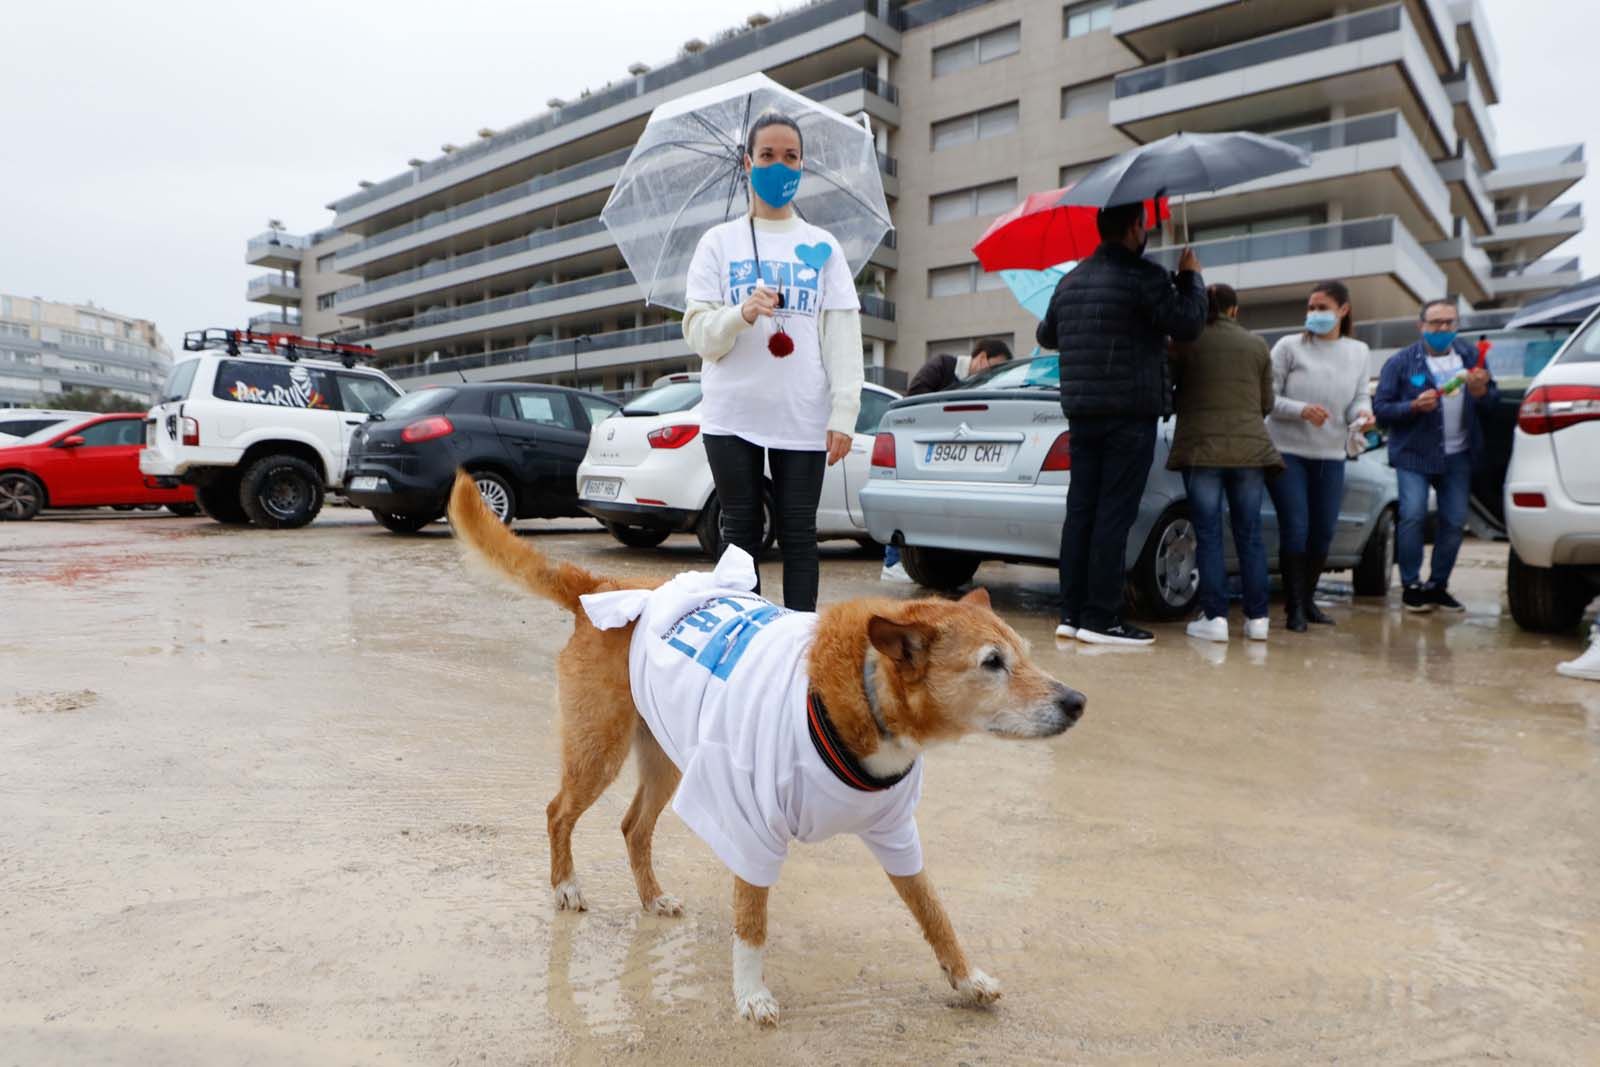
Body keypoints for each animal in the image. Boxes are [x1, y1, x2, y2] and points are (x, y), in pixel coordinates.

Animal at [444, 476, 1081, 1023]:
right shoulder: (750, 826)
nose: (1077, 701)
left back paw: (652, 898)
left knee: (633, 827)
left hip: (665, 760)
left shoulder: (897, 834)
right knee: (559, 812)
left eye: (1025, 654)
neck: (857, 693)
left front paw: (966, 977)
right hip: (598, 751)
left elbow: (934, 912)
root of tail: (602, 589)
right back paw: (566, 887)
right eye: (992, 664)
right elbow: (751, 923)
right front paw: (751, 995)